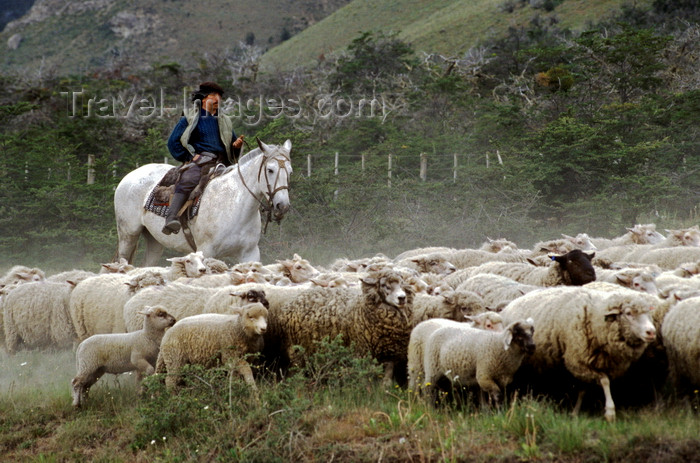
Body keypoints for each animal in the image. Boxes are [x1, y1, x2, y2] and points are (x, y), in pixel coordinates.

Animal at [115, 140, 292, 266]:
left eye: (290, 171)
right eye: (270, 170)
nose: (282, 206)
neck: (233, 206)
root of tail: (129, 176)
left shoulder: (250, 255)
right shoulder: (206, 252)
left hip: (154, 241)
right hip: (127, 235)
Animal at [504, 284, 656, 422]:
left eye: (648, 313)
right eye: (628, 313)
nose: (651, 332)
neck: (595, 318)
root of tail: (512, 303)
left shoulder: (592, 364)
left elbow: (583, 389)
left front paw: (575, 412)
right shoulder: (577, 361)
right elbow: (604, 381)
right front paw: (610, 412)